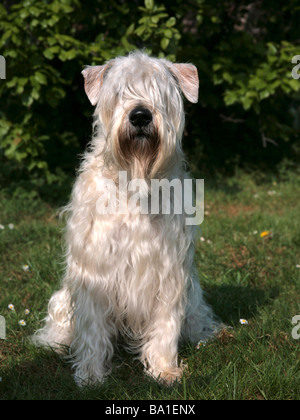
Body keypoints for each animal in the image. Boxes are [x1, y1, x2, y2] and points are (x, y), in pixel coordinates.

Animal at [32, 50, 219, 386]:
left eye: (159, 92)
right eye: (119, 92)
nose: (141, 116)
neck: (135, 181)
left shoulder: (168, 270)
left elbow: (165, 324)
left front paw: (164, 370)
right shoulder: (95, 268)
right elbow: (92, 327)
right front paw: (91, 375)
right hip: (62, 300)